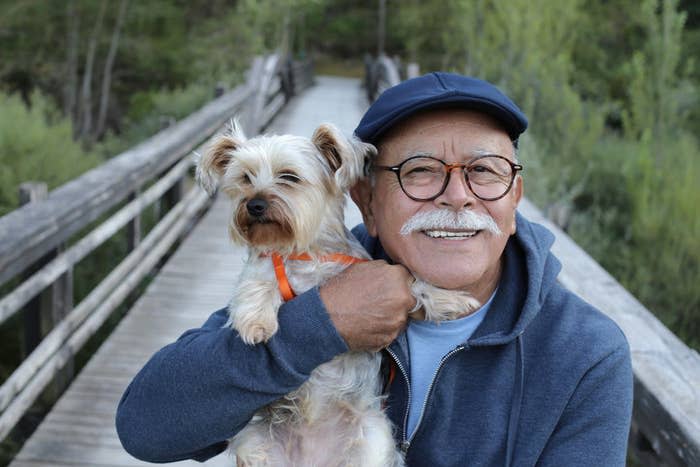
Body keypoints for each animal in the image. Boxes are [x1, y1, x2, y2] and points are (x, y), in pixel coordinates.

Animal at [197, 121, 482, 467]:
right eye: (245, 178)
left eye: (289, 176)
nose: (254, 205)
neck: (304, 252)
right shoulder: (263, 264)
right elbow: (257, 282)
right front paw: (257, 323)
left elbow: (415, 283)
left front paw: (451, 299)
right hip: (256, 443)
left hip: (372, 438)